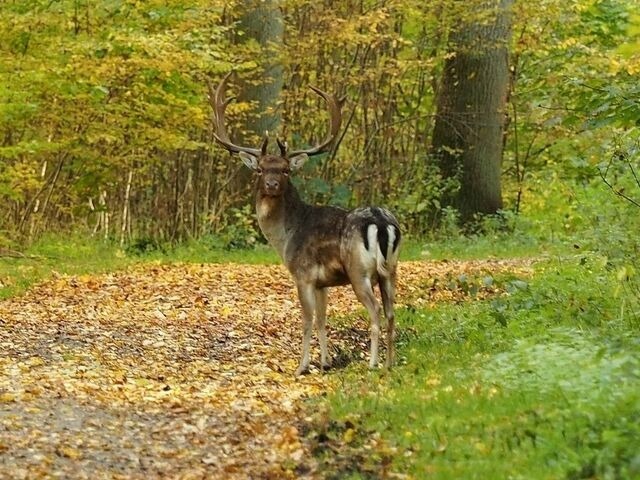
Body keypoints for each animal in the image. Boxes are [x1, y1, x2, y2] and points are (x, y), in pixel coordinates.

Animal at [209, 74, 400, 376]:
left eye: (286, 170)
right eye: (261, 169)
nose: (272, 185)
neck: (286, 236)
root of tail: (380, 222)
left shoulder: (303, 274)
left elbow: (307, 320)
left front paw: (302, 366)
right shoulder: (322, 283)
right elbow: (322, 319)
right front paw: (325, 362)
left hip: (359, 271)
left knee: (376, 311)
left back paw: (372, 363)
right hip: (390, 270)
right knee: (392, 312)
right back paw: (390, 364)